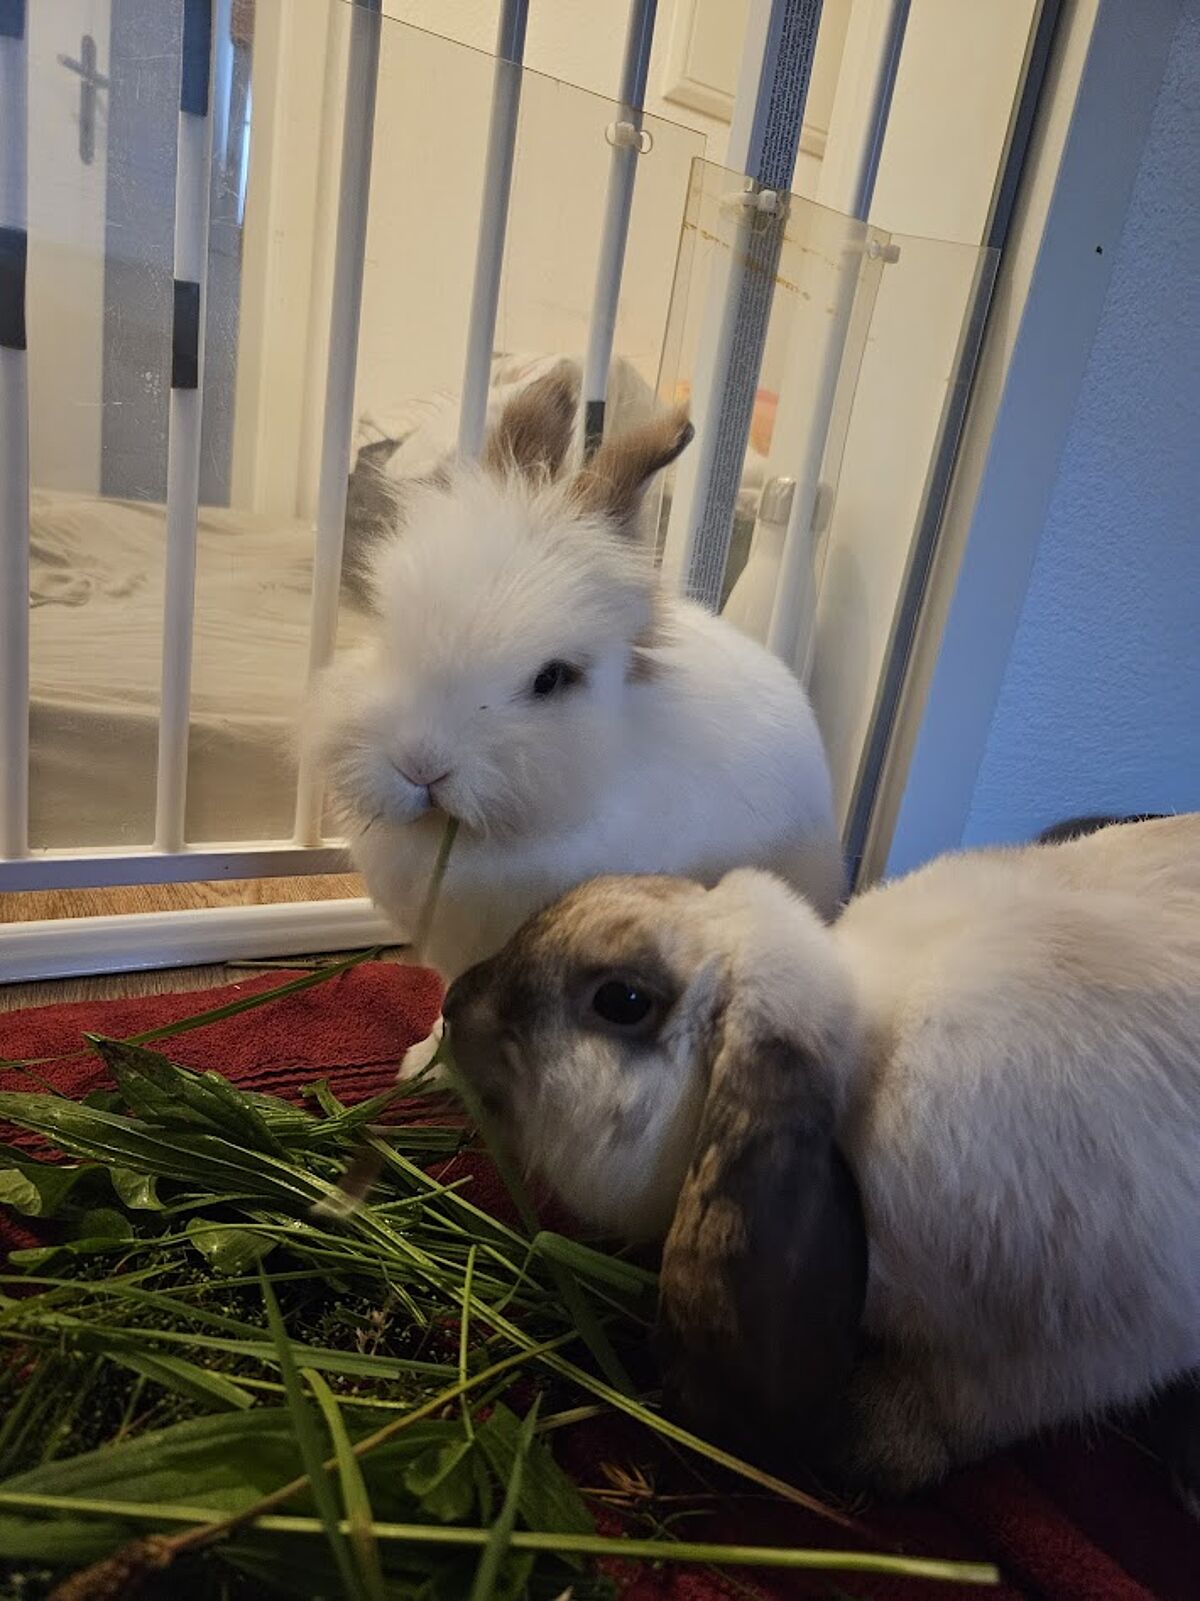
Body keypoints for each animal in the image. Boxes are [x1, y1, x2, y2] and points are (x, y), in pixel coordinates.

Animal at [442, 814, 1200, 1500]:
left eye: (622, 1000)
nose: (453, 1002)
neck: (866, 1058)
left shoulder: (1078, 1348)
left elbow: (957, 1409)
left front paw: (860, 1440)